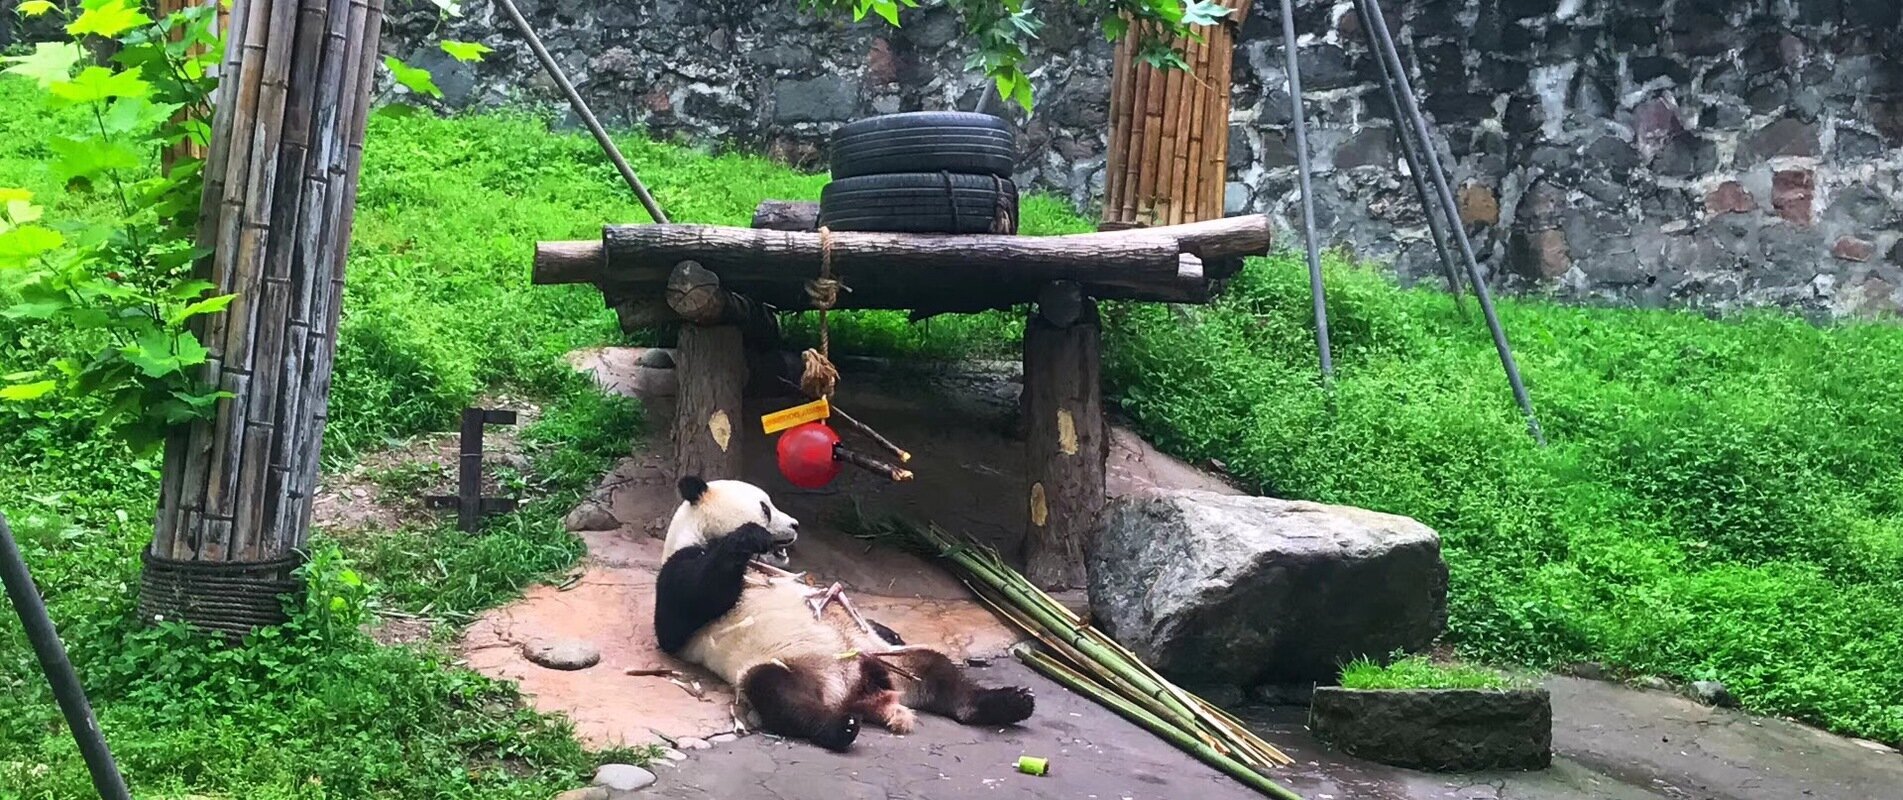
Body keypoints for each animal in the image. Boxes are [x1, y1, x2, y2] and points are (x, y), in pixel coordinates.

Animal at [654, 475, 1036, 751]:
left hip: (891, 661)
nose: (795, 525)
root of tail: (856, 692)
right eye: (765, 508)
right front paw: (748, 537)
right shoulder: (682, 566)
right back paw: (840, 727)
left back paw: (1008, 702)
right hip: (789, 663)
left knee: (938, 670)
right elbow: (681, 613)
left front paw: (890, 628)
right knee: (779, 694)